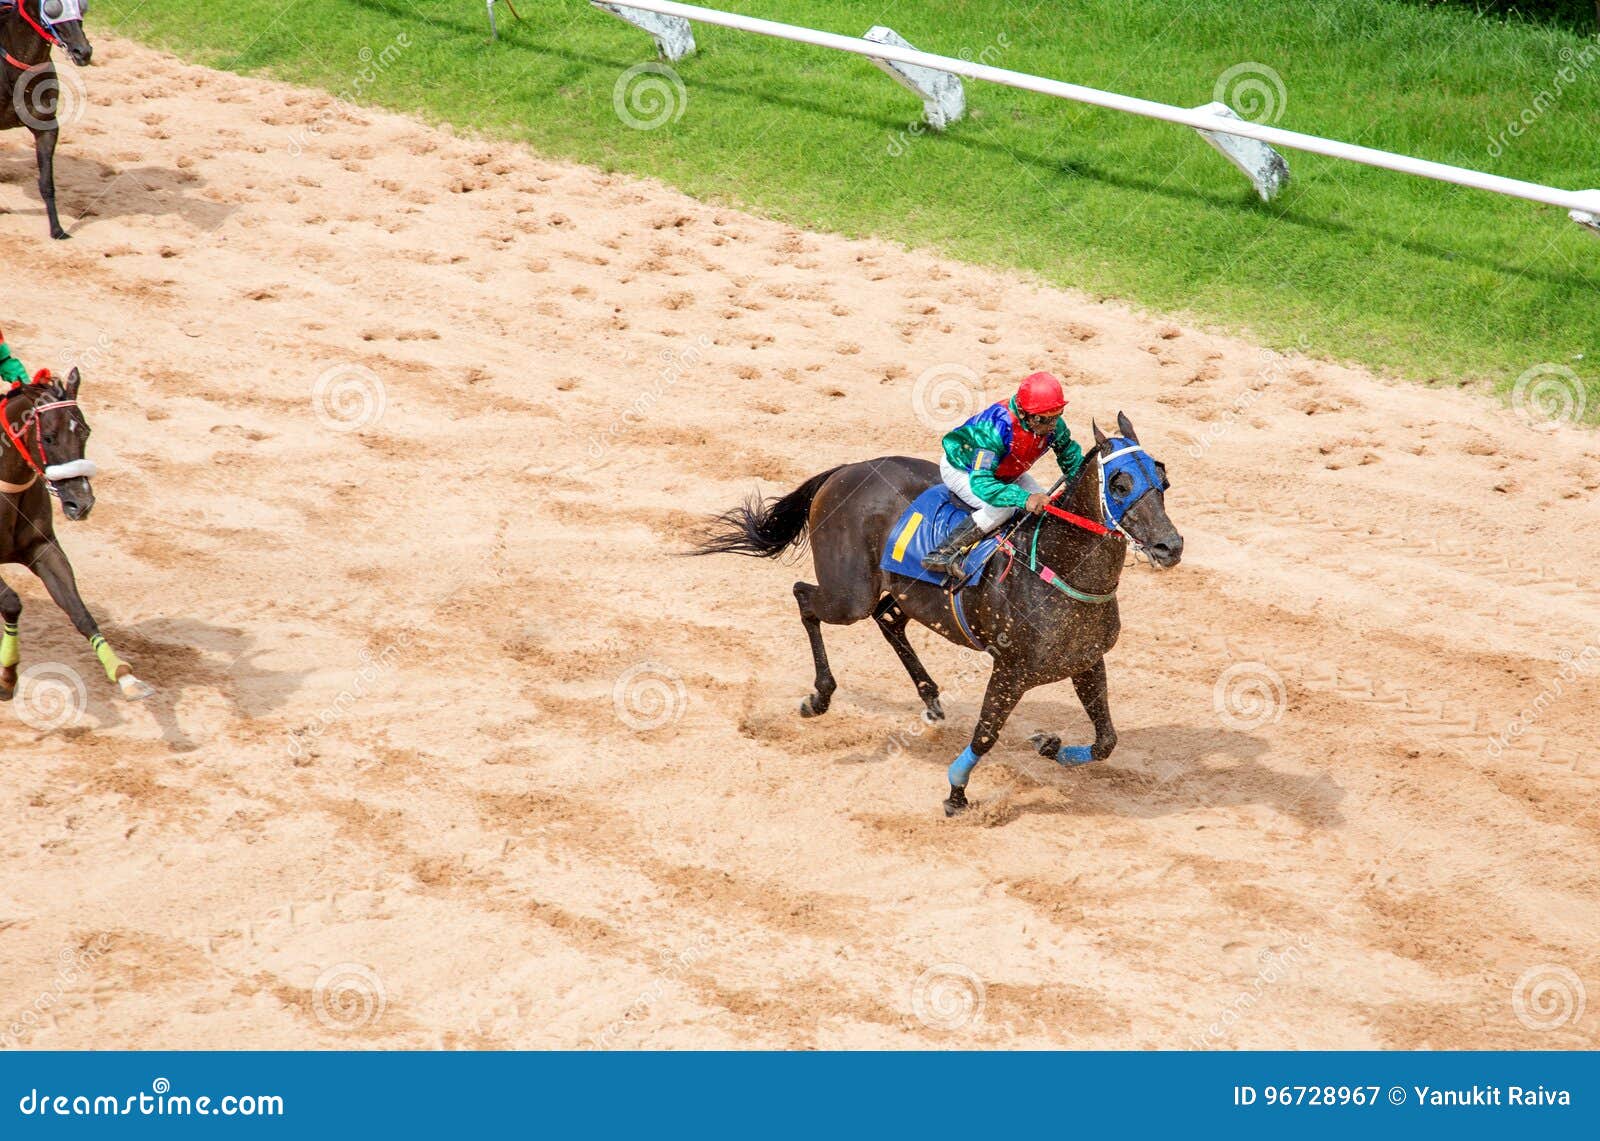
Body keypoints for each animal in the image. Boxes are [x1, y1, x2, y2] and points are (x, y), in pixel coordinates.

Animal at [0, 0, 92, 238]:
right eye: (53, 7)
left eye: (82, 6)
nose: (83, 51)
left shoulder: (47, 128)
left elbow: (46, 182)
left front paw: (57, 229)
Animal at [0, 364, 151, 704]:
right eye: (48, 437)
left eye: (85, 431)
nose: (80, 503)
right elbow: (12, 603)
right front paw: (6, 677)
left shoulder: (43, 548)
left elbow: (79, 612)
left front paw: (126, 676)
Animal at [694, 412, 1184, 812]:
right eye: (1119, 483)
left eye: (1163, 479)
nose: (1170, 546)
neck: (1057, 566)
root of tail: (845, 470)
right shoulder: (1011, 669)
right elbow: (986, 734)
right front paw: (956, 792)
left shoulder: (1085, 661)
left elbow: (1106, 741)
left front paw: (1049, 745)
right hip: (849, 594)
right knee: (804, 598)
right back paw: (820, 696)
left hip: (901, 592)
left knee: (888, 619)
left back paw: (929, 698)